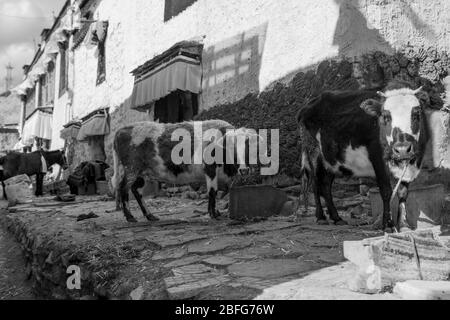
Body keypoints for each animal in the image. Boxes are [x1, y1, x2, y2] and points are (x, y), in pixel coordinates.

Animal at [110, 120, 255, 222]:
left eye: (248, 146)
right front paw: (213, 215)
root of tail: (120, 130)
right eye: (231, 147)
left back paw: (150, 216)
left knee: (136, 190)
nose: (244, 170)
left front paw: (217, 212)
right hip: (131, 168)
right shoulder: (209, 168)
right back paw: (130, 217)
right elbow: (212, 191)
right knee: (123, 188)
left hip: (141, 172)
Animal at [298, 79, 430, 230]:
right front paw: (388, 225)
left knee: (325, 185)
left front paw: (403, 225)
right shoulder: (377, 158)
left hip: (330, 160)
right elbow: (386, 191)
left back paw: (336, 218)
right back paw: (320, 217)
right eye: (385, 116)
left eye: (416, 115)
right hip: (313, 153)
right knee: (315, 183)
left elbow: (403, 192)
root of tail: (308, 104)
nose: (402, 149)